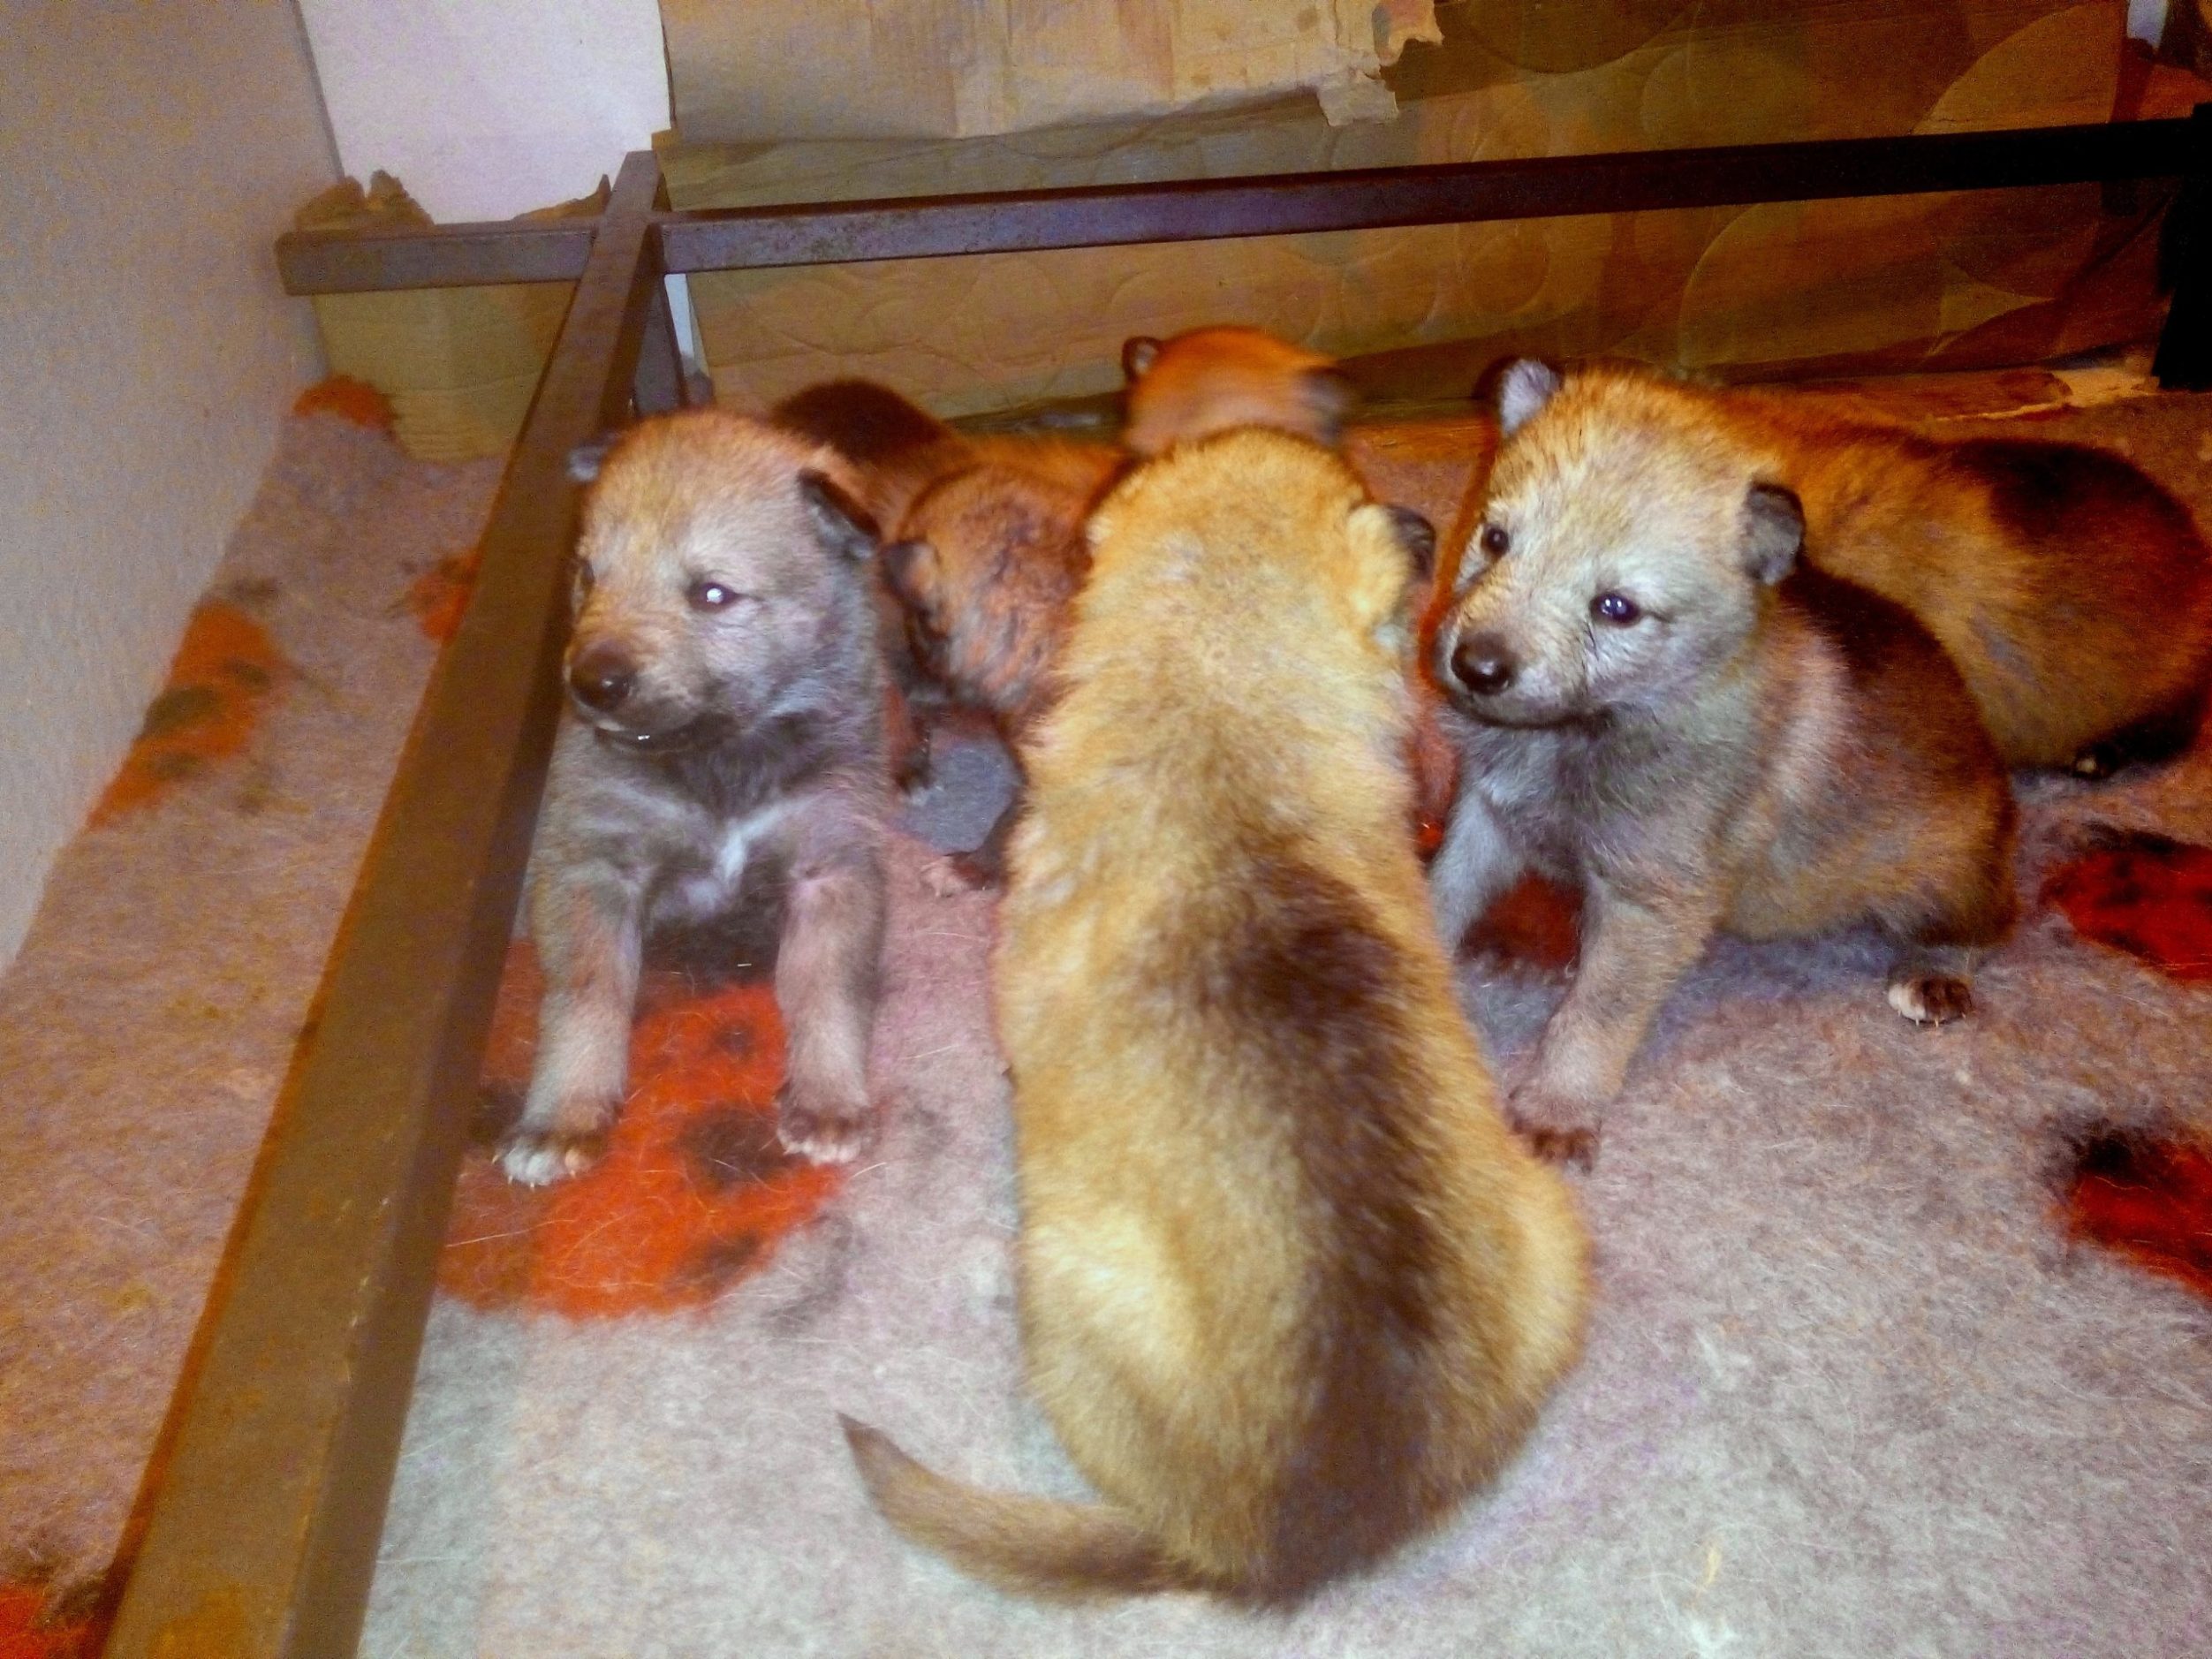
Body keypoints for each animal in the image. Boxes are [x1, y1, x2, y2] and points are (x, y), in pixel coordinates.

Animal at [499, 410, 891, 1184]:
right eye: (589, 573)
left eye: (713, 593)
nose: (592, 683)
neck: (722, 758)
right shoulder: (594, 869)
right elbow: (587, 995)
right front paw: (563, 1116)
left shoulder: (831, 864)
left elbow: (829, 988)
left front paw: (829, 1100)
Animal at [1429, 361, 2018, 1165]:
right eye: (1495, 539)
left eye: (1616, 608)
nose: (1477, 666)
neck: (1588, 728)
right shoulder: (1484, 818)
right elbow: (1441, 894)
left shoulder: (1652, 904)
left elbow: (1597, 1014)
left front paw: (1558, 1107)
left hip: (1935, 874)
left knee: (1990, 921)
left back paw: (1934, 974)